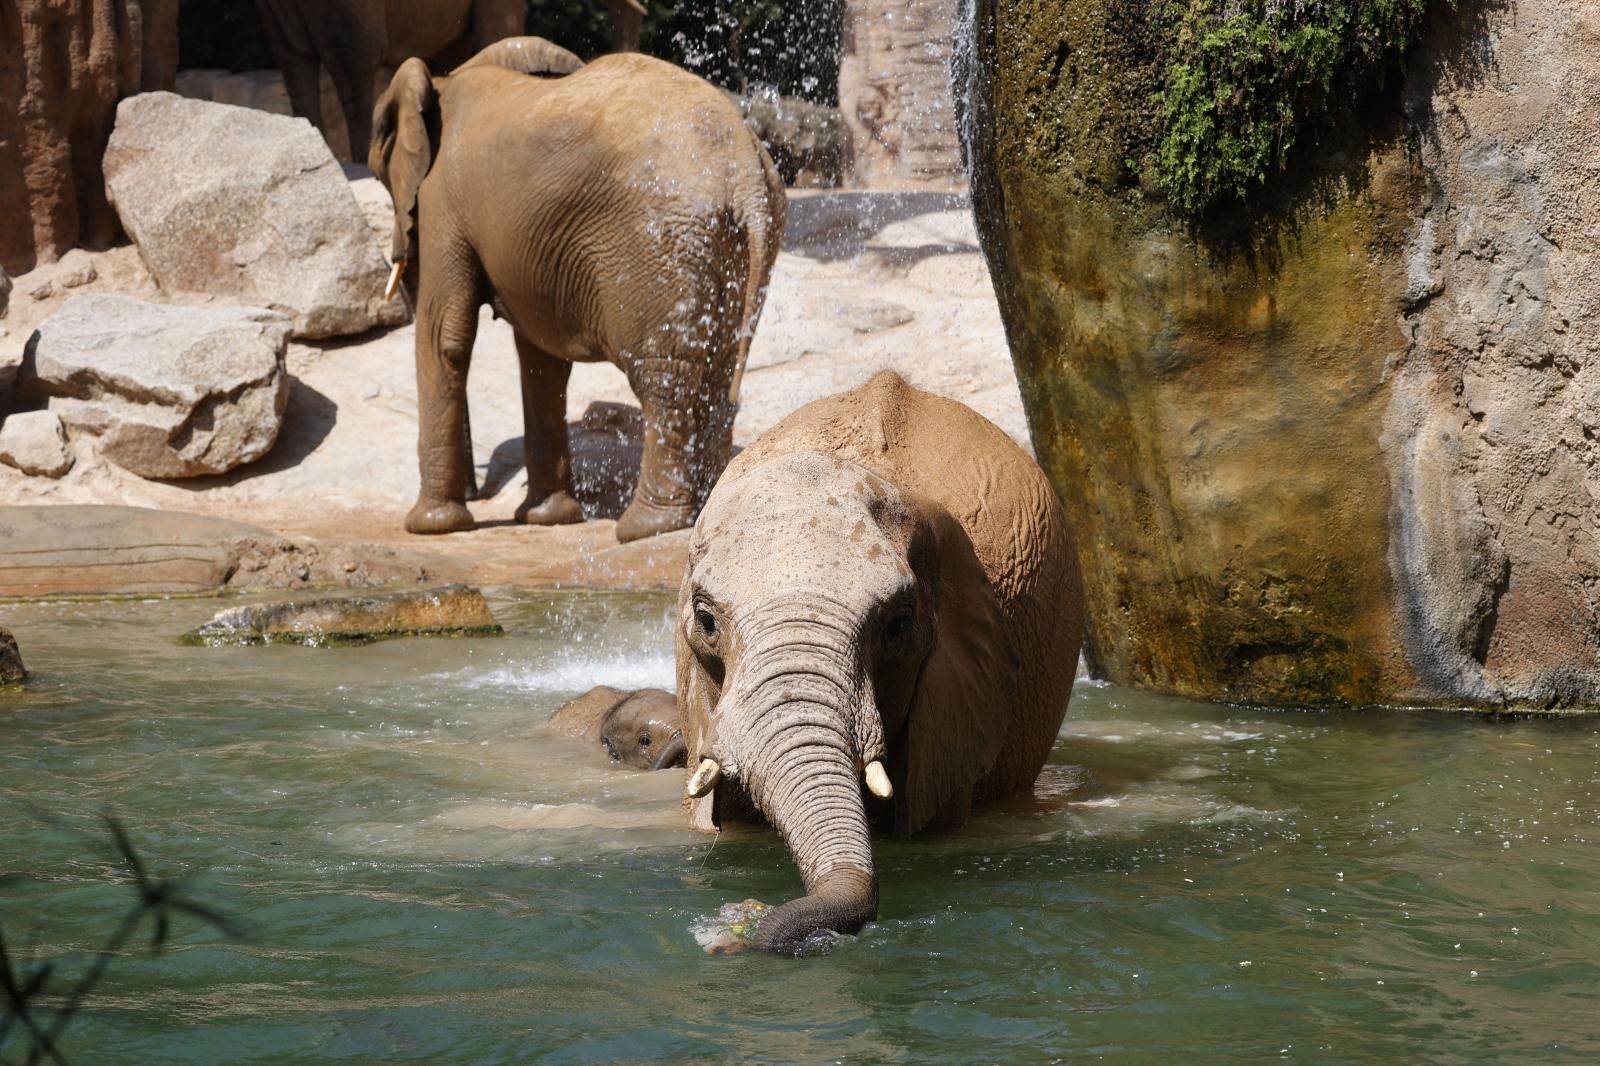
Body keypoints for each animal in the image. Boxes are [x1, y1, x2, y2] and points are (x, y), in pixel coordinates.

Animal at [364, 39, 787, 541]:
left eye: (378, 174)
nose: (475, 491)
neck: (444, 78)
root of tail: (745, 167)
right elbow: (541, 358)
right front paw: (547, 519)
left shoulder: (440, 203)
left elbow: (444, 336)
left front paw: (430, 527)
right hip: (735, 246)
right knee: (718, 371)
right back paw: (706, 511)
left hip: (660, 246)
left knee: (663, 378)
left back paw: (645, 527)